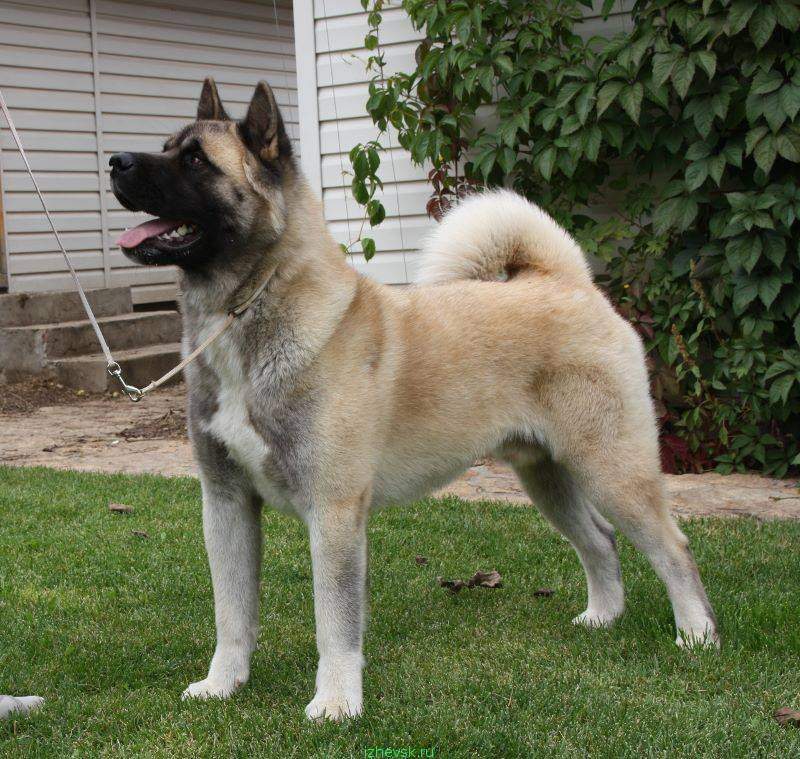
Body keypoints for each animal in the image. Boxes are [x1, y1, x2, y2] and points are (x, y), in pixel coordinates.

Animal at [109, 78, 718, 721]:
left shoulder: (334, 512)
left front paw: (336, 703)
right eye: (167, 147)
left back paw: (697, 634)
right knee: (599, 540)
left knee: (673, 547)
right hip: (548, 475)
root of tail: (568, 282)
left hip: (611, 468)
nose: (115, 162)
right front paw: (224, 684)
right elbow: (232, 613)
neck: (249, 308)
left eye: (196, 160)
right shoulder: (226, 503)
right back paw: (603, 617)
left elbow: (335, 621)